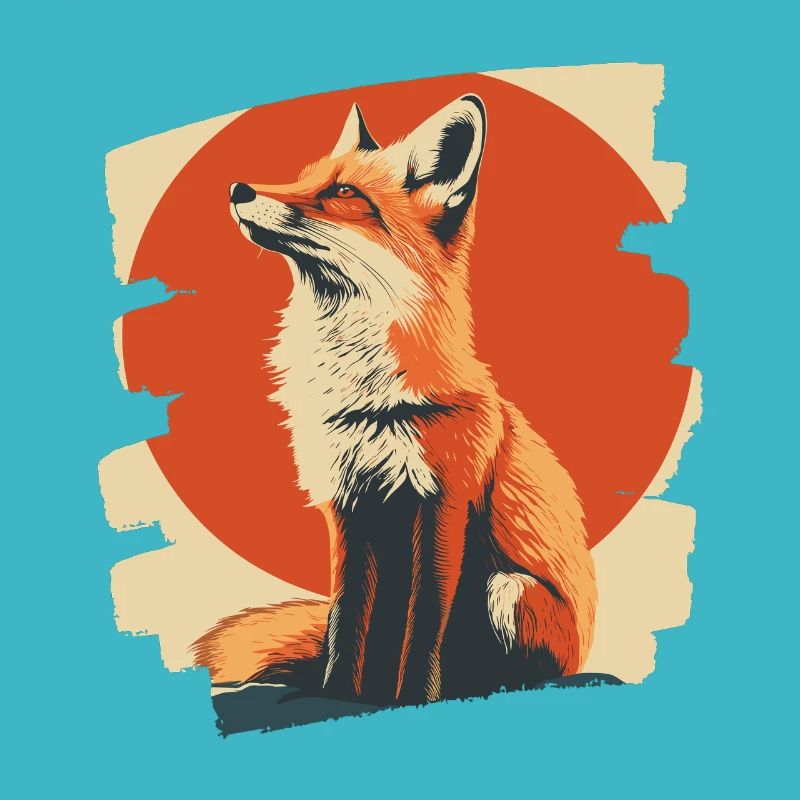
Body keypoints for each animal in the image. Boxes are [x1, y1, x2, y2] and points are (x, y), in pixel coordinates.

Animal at [192, 94, 597, 706]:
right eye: (304, 177)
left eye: (342, 192)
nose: (238, 188)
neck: (368, 404)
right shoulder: (348, 510)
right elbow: (345, 620)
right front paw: (339, 696)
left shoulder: (444, 504)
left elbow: (426, 622)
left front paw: (414, 699)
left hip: (508, 589)